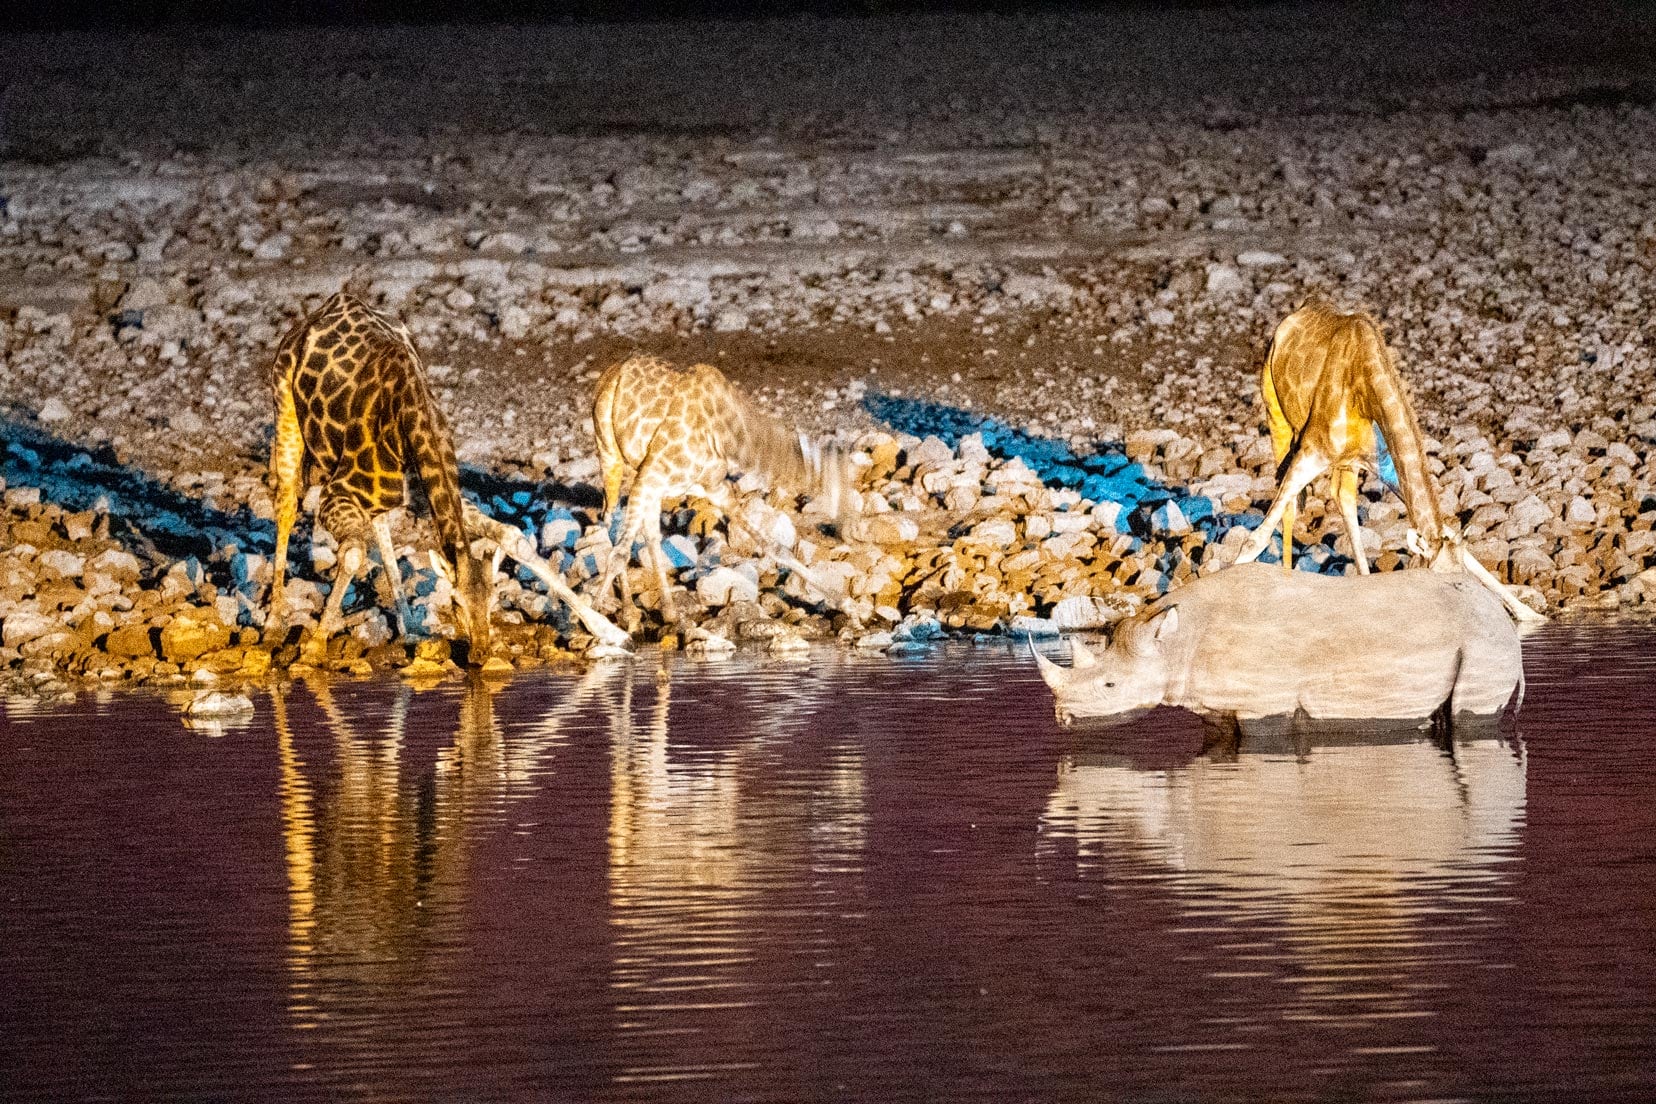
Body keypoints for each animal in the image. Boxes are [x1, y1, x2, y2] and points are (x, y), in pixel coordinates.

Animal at [592, 355, 854, 628]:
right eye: (843, 488)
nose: (847, 532)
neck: (730, 433)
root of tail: (611, 373)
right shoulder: (651, 474)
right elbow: (619, 554)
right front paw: (595, 620)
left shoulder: (714, 487)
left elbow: (774, 547)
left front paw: (849, 606)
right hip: (611, 454)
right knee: (609, 520)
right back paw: (629, 612)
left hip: (642, 476)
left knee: (648, 533)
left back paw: (669, 613)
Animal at [1238, 302, 1543, 622]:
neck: (1364, 388)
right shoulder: (1311, 451)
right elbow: (1253, 540)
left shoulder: (1385, 465)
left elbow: (1461, 546)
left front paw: (1531, 615)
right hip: (1277, 418)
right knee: (1289, 505)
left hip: (1345, 462)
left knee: (1342, 498)